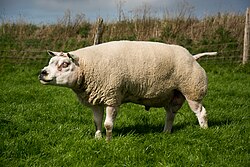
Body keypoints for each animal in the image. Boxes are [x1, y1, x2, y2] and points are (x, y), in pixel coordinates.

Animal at [39, 40, 217, 141]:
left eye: (65, 64)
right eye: (51, 61)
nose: (42, 73)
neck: (88, 66)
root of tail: (193, 57)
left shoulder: (112, 97)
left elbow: (108, 124)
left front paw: (108, 141)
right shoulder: (96, 100)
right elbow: (97, 122)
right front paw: (97, 138)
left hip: (193, 90)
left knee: (201, 112)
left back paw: (204, 131)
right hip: (172, 95)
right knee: (170, 115)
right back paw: (166, 133)